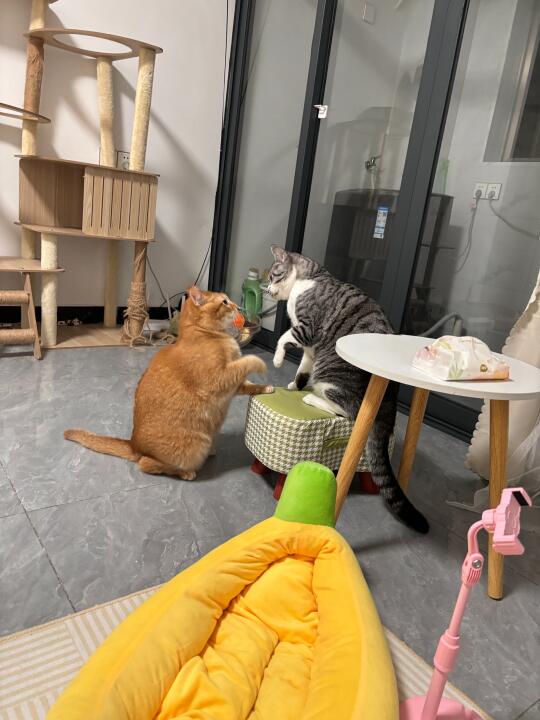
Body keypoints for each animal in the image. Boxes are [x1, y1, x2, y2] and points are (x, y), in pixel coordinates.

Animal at [65, 287, 272, 480]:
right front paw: (261, 364)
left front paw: (266, 388)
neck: (206, 334)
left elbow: (249, 383)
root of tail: (133, 445)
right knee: (146, 464)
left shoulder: (234, 385)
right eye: (224, 302)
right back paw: (187, 472)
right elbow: (247, 361)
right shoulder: (221, 378)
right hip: (196, 445)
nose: (236, 305)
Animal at [266, 246, 429, 534]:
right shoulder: (310, 348)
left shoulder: (307, 328)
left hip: (331, 374)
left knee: (346, 411)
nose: (266, 288)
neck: (309, 279)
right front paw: (294, 384)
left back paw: (312, 398)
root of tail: (389, 396)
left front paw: (277, 360)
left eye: (273, 275)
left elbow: (284, 337)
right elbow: (302, 368)